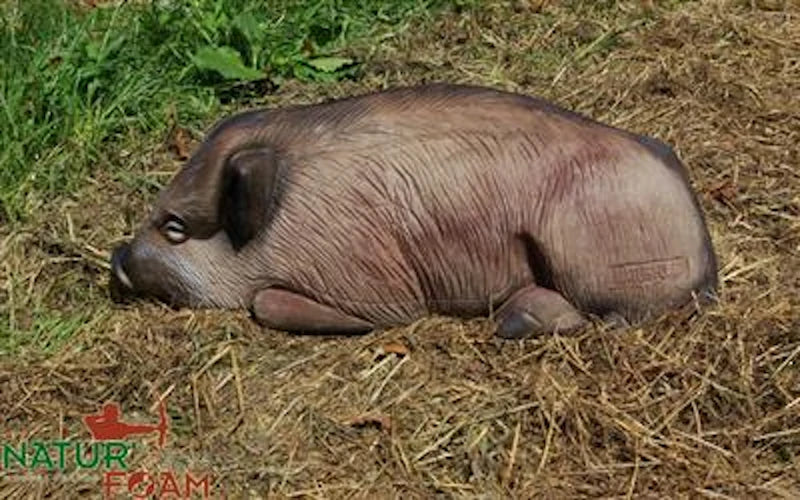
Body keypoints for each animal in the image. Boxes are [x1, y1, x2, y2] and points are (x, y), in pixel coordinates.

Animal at [110, 83, 718, 338]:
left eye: (174, 228)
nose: (117, 258)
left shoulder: (369, 277)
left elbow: (267, 303)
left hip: (591, 254)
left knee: (609, 317)